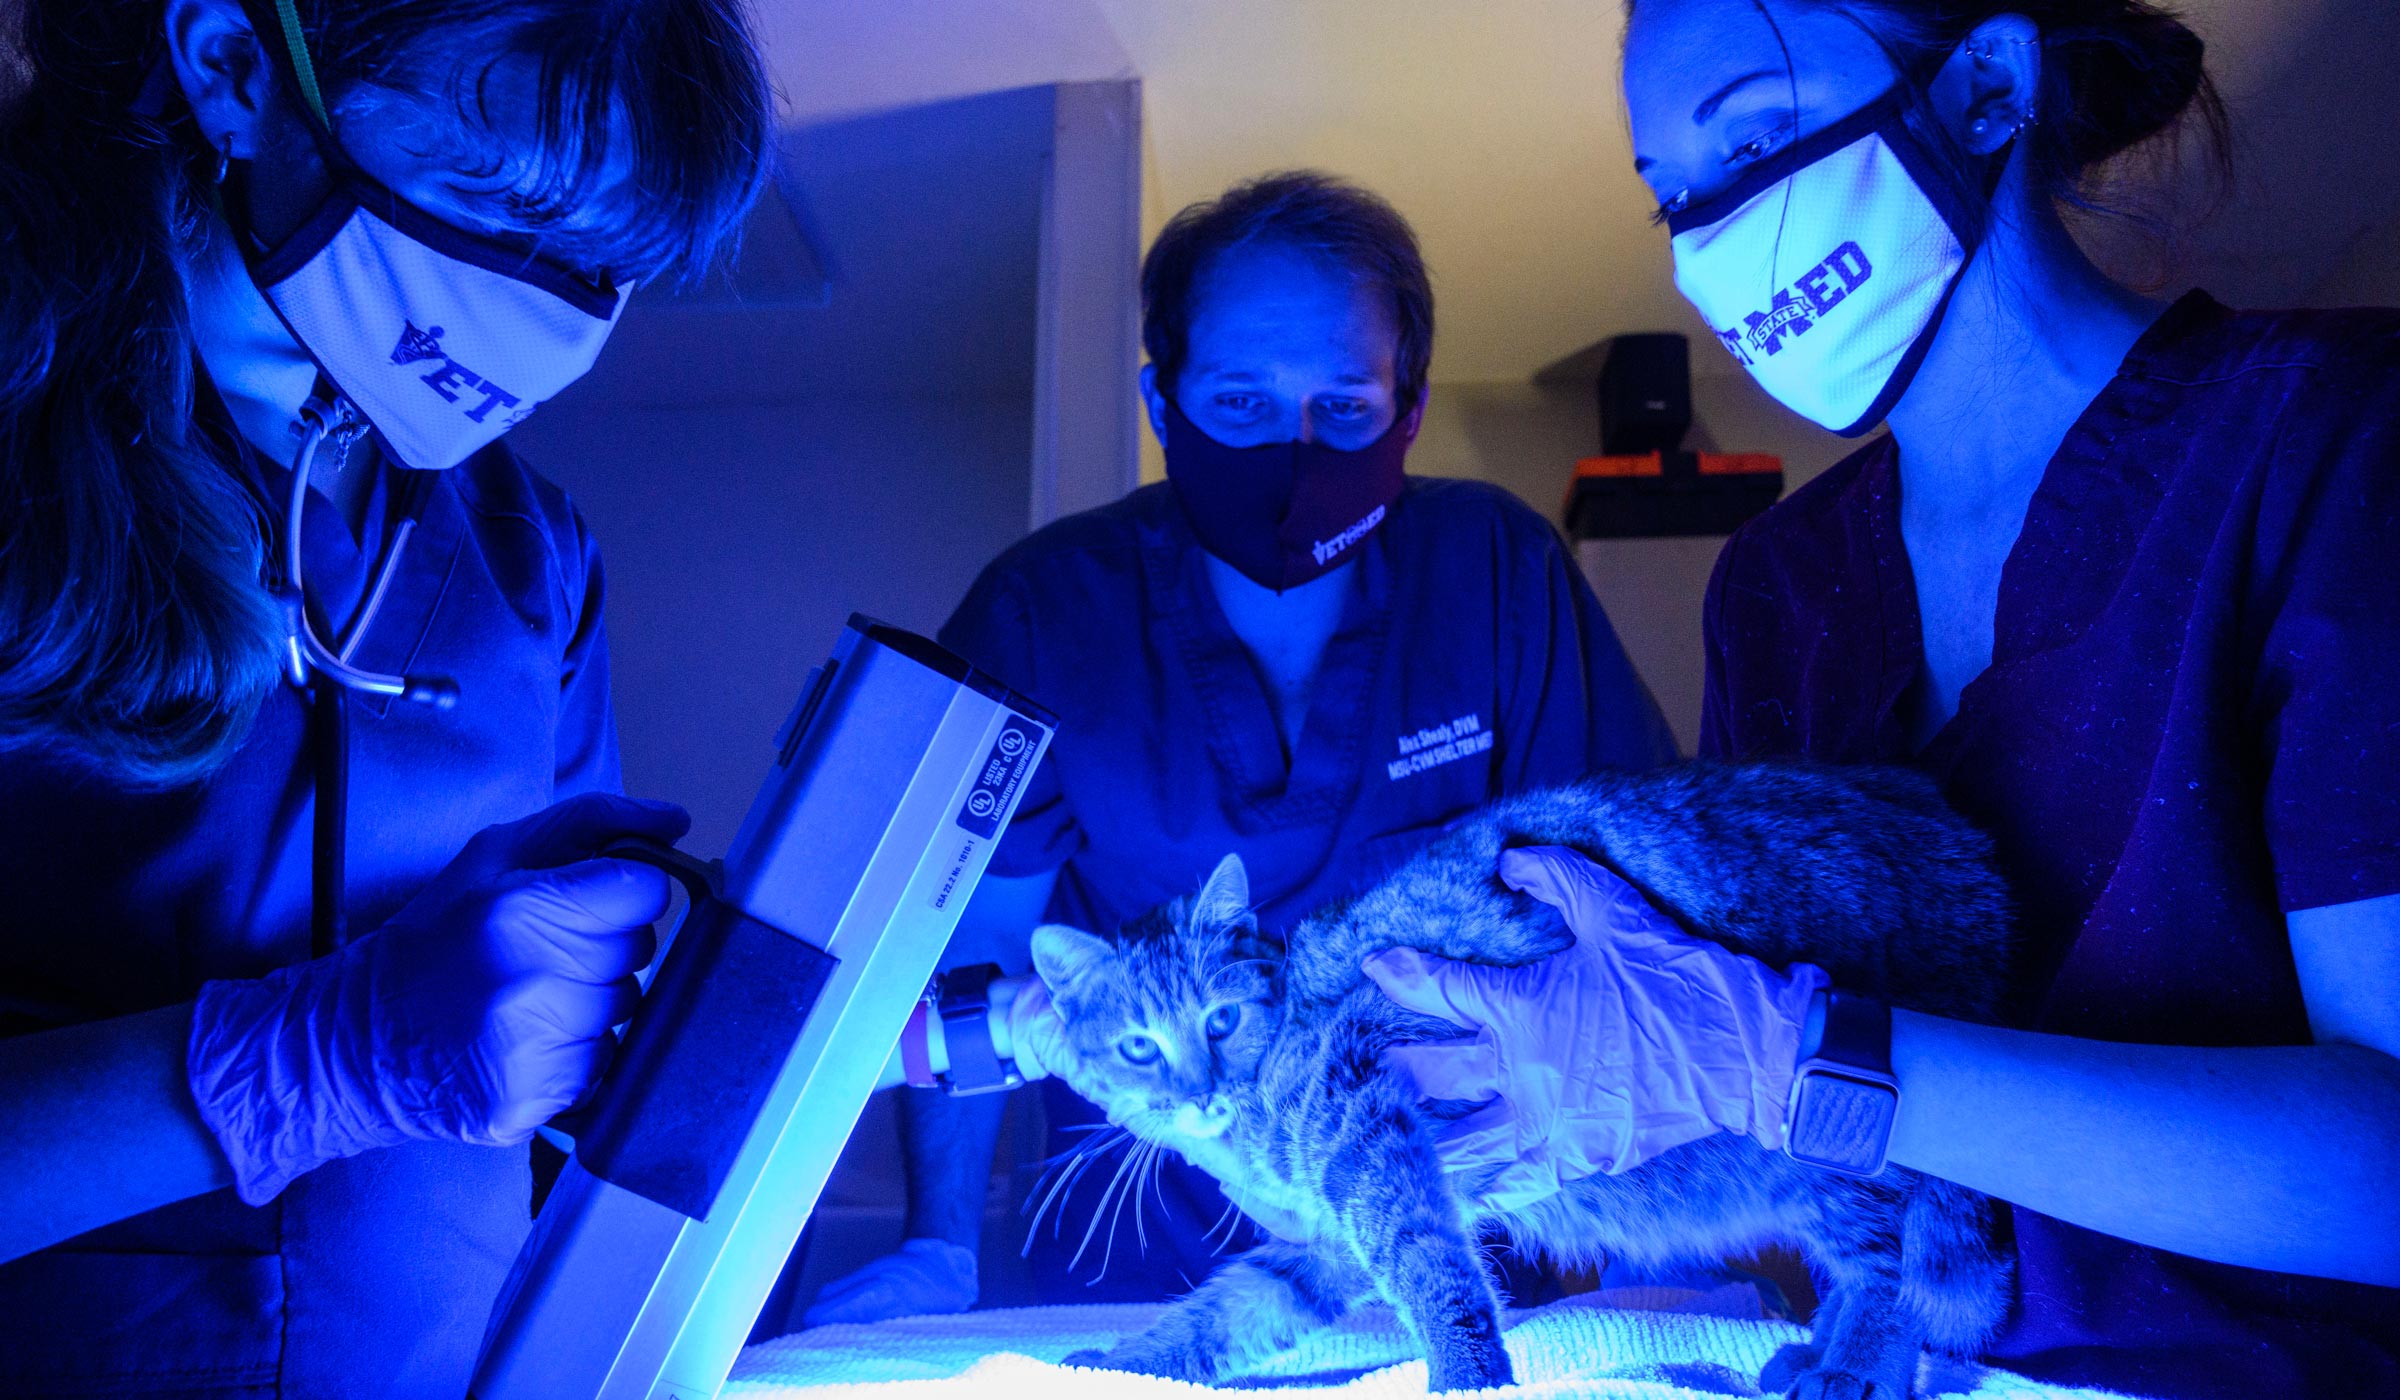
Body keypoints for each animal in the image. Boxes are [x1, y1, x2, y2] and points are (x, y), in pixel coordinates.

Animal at [1041, 768, 2016, 1400]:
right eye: (1138, 1047)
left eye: (1220, 1021)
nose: (1200, 1091)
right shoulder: (1319, 1241)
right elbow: (1229, 1310)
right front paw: (1109, 1364)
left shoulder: (1370, 1130)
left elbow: (1430, 1267)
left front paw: (1467, 1377)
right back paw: (1817, 1353)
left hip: (1829, 1158)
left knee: (1895, 1271)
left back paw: (1858, 1364)